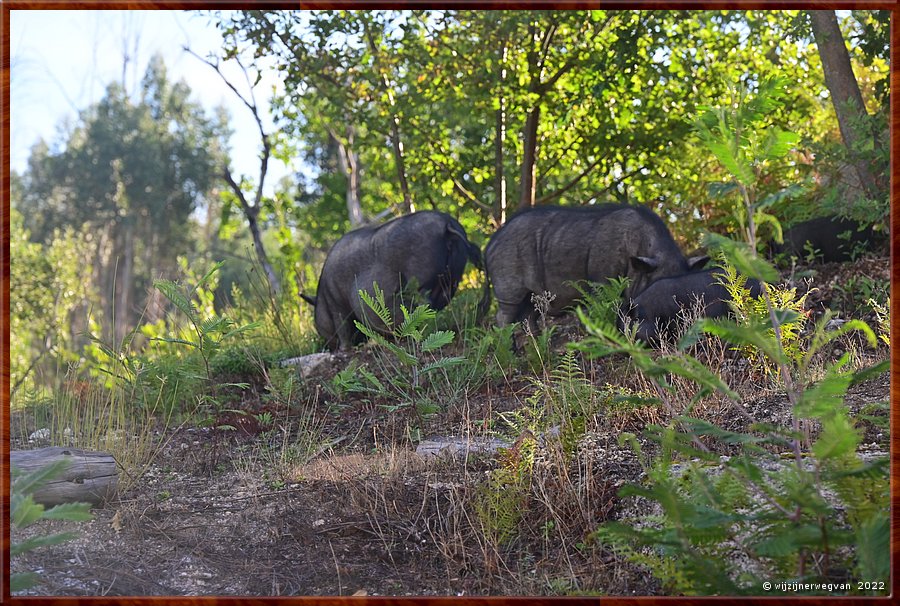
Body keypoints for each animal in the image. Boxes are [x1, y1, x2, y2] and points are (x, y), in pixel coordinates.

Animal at [302, 211, 482, 352]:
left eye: (317, 324)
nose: (326, 347)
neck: (323, 298)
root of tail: (446, 224)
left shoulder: (337, 304)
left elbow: (343, 327)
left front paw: (344, 350)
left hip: (421, 275)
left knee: (424, 302)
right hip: (453, 275)